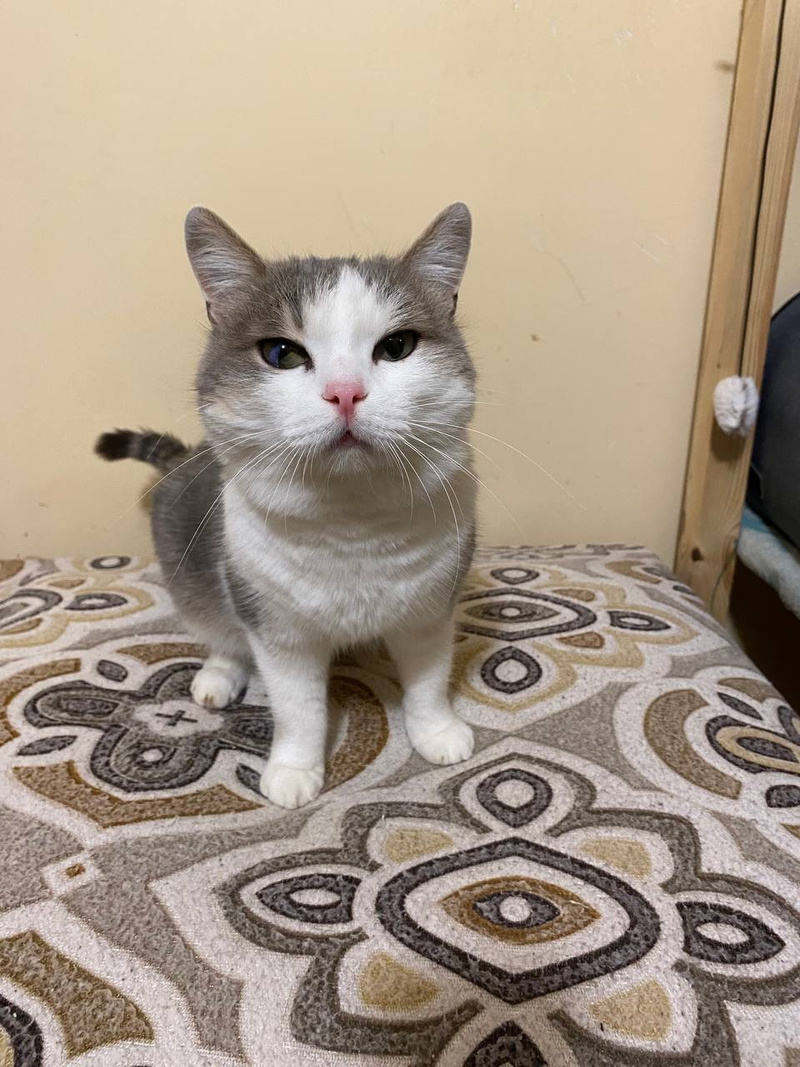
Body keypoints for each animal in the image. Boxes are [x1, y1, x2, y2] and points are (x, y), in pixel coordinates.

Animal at [96, 204, 477, 808]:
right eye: (282, 353)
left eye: (396, 347)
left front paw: (436, 733)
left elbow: (427, 681)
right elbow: (298, 709)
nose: (345, 392)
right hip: (196, 579)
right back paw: (217, 679)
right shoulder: (277, 630)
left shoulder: (430, 610)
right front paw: (295, 770)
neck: (351, 525)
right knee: (219, 634)